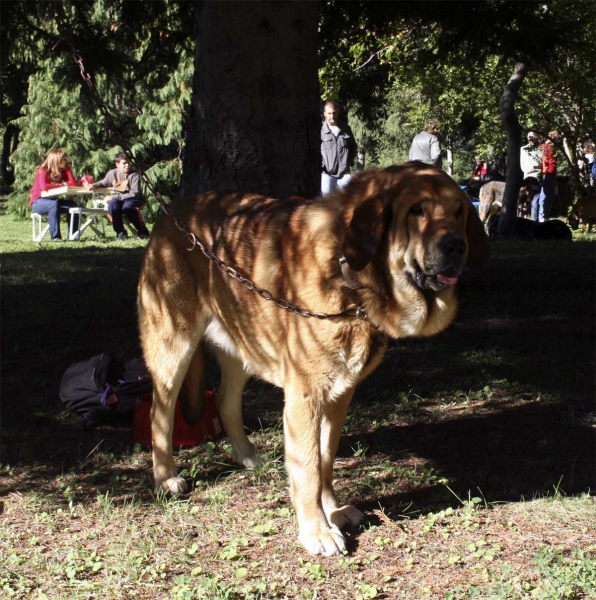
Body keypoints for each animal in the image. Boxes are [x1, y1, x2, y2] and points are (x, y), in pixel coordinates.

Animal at [137, 162, 492, 556]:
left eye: (459, 212)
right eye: (417, 210)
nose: (456, 246)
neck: (349, 276)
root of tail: (171, 212)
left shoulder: (339, 394)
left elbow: (325, 459)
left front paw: (332, 510)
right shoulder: (304, 397)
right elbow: (307, 466)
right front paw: (316, 530)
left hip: (243, 347)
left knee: (228, 403)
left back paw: (247, 455)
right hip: (173, 348)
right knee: (160, 414)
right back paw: (166, 478)